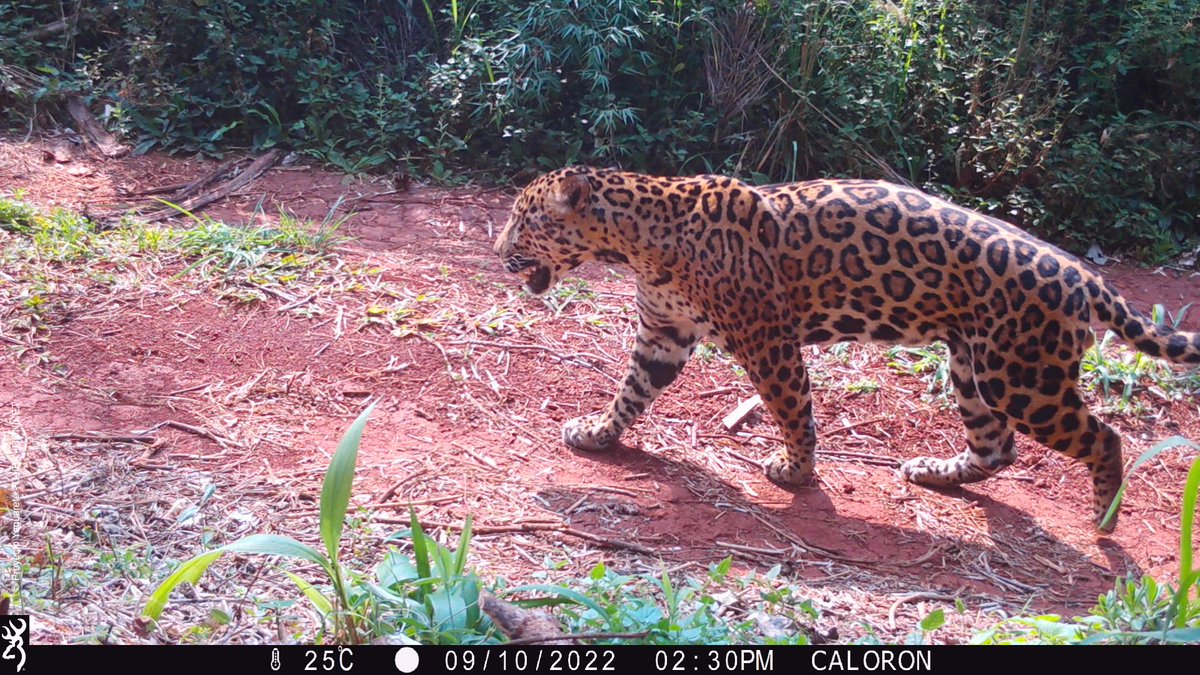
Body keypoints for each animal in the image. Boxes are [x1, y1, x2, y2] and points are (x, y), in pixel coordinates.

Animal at [493, 166, 1200, 532]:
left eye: (523, 221)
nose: (498, 250)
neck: (638, 238)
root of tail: (1085, 276)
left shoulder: (767, 340)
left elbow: (792, 410)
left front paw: (796, 473)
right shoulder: (662, 334)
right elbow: (630, 393)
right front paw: (596, 434)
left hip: (1023, 378)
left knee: (1104, 437)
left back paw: (1103, 517)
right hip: (972, 366)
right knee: (996, 445)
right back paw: (932, 473)